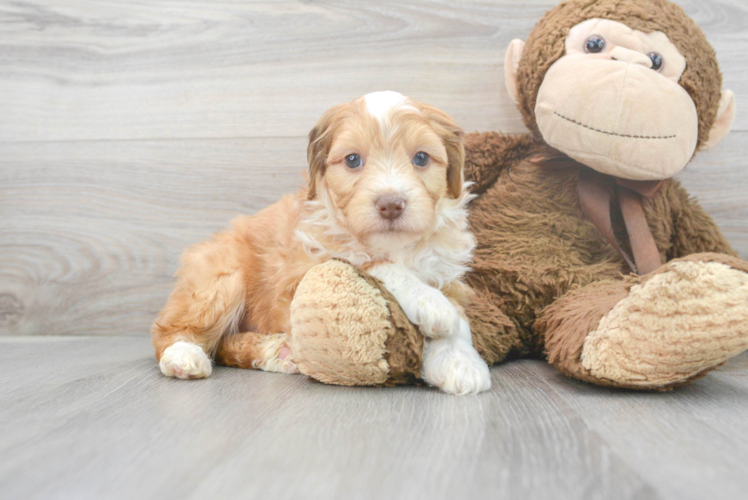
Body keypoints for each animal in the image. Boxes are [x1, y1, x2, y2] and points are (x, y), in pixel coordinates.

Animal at [152, 90, 490, 394]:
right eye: (353, 160)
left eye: (421, 158)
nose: (391, 204)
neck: (395, 245)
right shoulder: (303, 271)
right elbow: (372, 262)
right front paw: (431, 303)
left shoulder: (446, 272)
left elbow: (459, 318)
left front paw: (459, 362)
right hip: (220, 279)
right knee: (172, 330)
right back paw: (183, 356)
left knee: (224, 345)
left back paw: (277, 352)